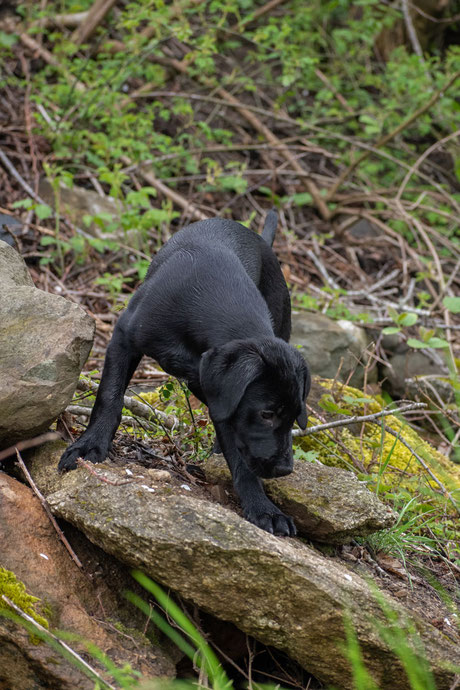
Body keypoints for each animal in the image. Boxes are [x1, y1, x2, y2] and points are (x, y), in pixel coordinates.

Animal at [57, 212, 310, 536]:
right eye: (267, 414)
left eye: (294, 417)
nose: (284, 470)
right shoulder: (124, 338)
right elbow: (109, 397)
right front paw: (90, 445)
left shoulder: (225, 402)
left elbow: (239, 456)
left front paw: (262, 508)